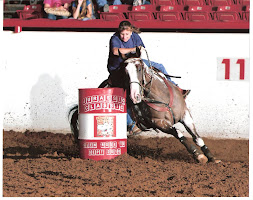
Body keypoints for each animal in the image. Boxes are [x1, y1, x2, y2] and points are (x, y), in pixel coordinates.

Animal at [68, 47, 220, 164]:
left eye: (139, 68)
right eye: (125, 72)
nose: (135, 95)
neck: (161, 97)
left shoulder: (185, 115)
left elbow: (197, 137)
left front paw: (212, 157)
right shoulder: (159, 123)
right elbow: (179, 133)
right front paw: (198, 156)